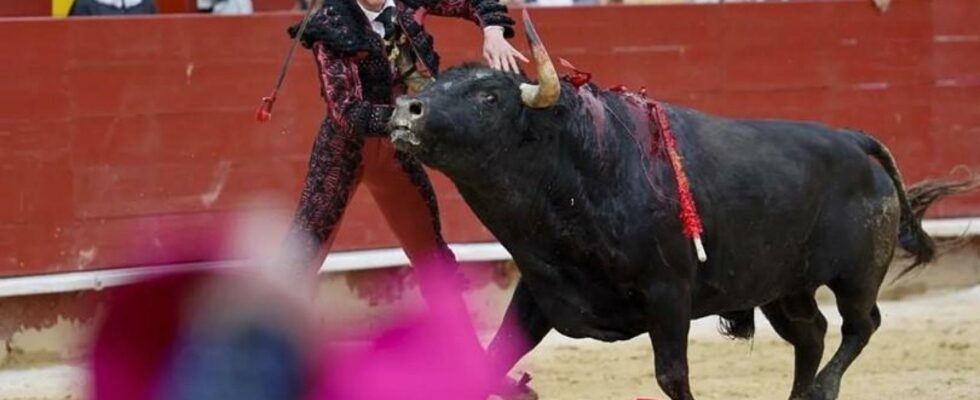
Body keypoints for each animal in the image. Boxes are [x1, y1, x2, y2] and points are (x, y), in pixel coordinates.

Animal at [386, 15, 976, 400]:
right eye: (440, 84)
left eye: (489, 96)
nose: (405, 108)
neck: (581, 167)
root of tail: (853, 139)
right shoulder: (539, 291)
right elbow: (489, 363)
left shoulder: (668, 293)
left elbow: (672, 376)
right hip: (780, 286)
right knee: (810, 333)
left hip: (855, 274)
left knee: (861, 324)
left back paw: (821, 391)